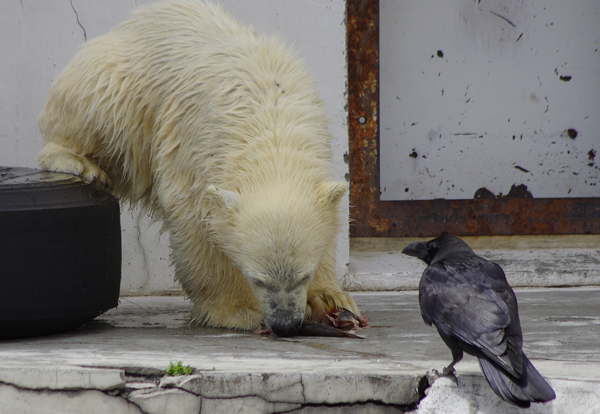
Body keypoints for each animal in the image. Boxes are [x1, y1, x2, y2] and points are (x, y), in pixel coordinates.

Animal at [39, 0, 358, 334]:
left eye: (303, 275)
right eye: (257, 278)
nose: (284, 324)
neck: (271, 125)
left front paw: (328, 299)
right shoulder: (196, 152)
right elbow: (196, 225)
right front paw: (239, 310)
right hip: (125, 82)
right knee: (101, 104)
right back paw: (78, 162)